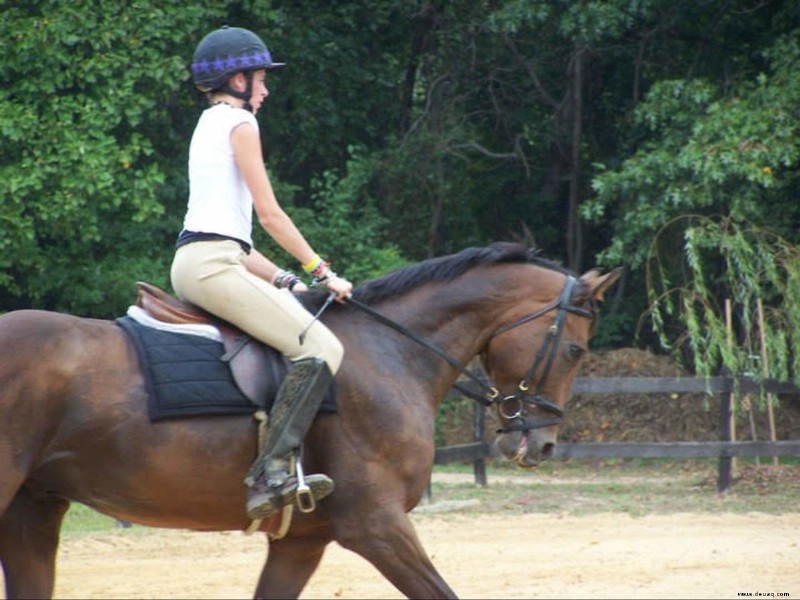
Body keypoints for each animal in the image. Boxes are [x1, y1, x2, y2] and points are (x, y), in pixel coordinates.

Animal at [0, 244, 620, 600]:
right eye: (575, 350)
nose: (541, 445)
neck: (390, 351)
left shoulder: (302, 542)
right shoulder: (377, 525)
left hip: (34, 507)